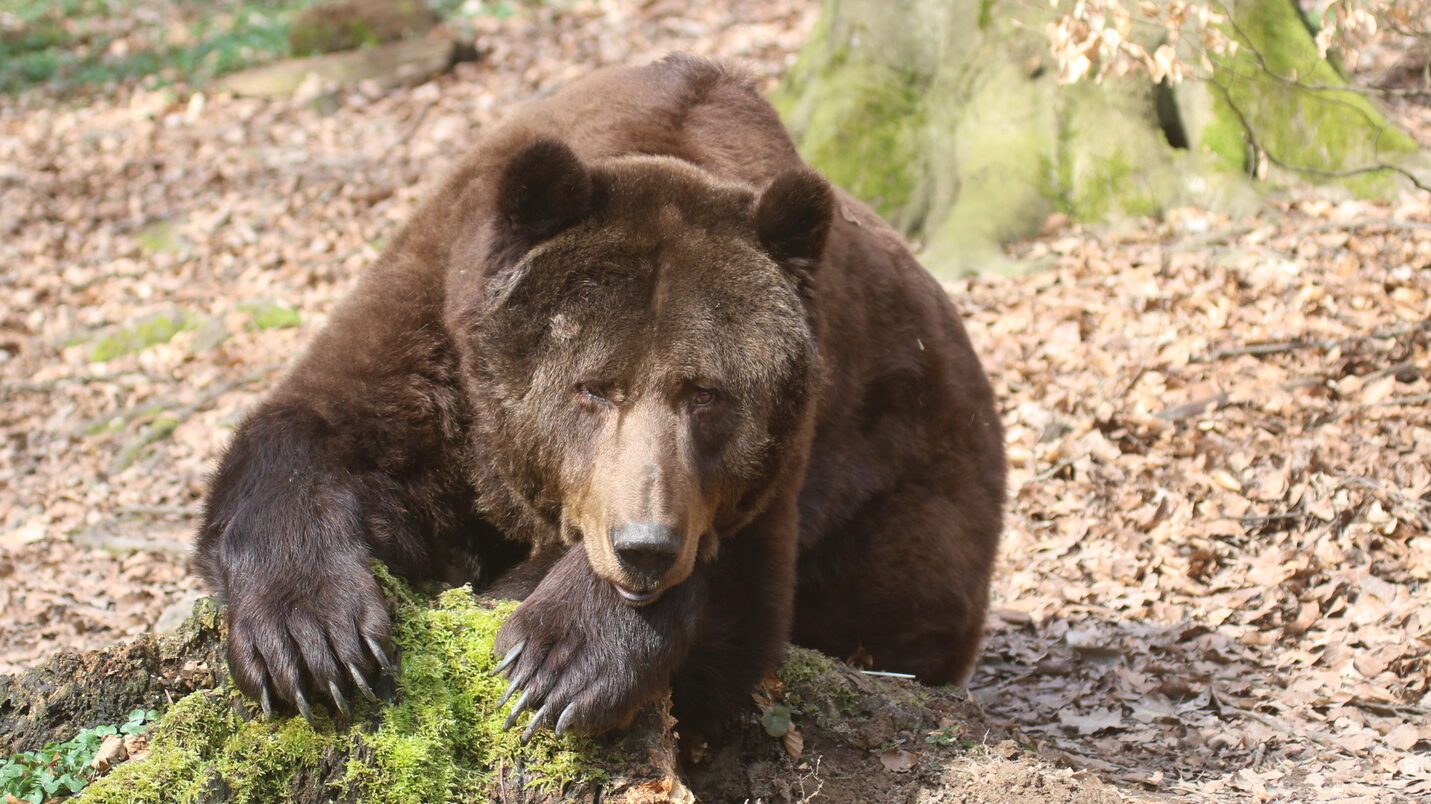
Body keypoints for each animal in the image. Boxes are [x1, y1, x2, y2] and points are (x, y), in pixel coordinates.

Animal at [195, 53, 1005, 738]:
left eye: (705, 394)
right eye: (594, 387)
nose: (644, 547)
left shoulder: (785, 459)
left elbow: (734, 599)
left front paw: (555, 658)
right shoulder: (438, 334)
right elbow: (320, 431)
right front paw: (313, 643)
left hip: (906, 487)